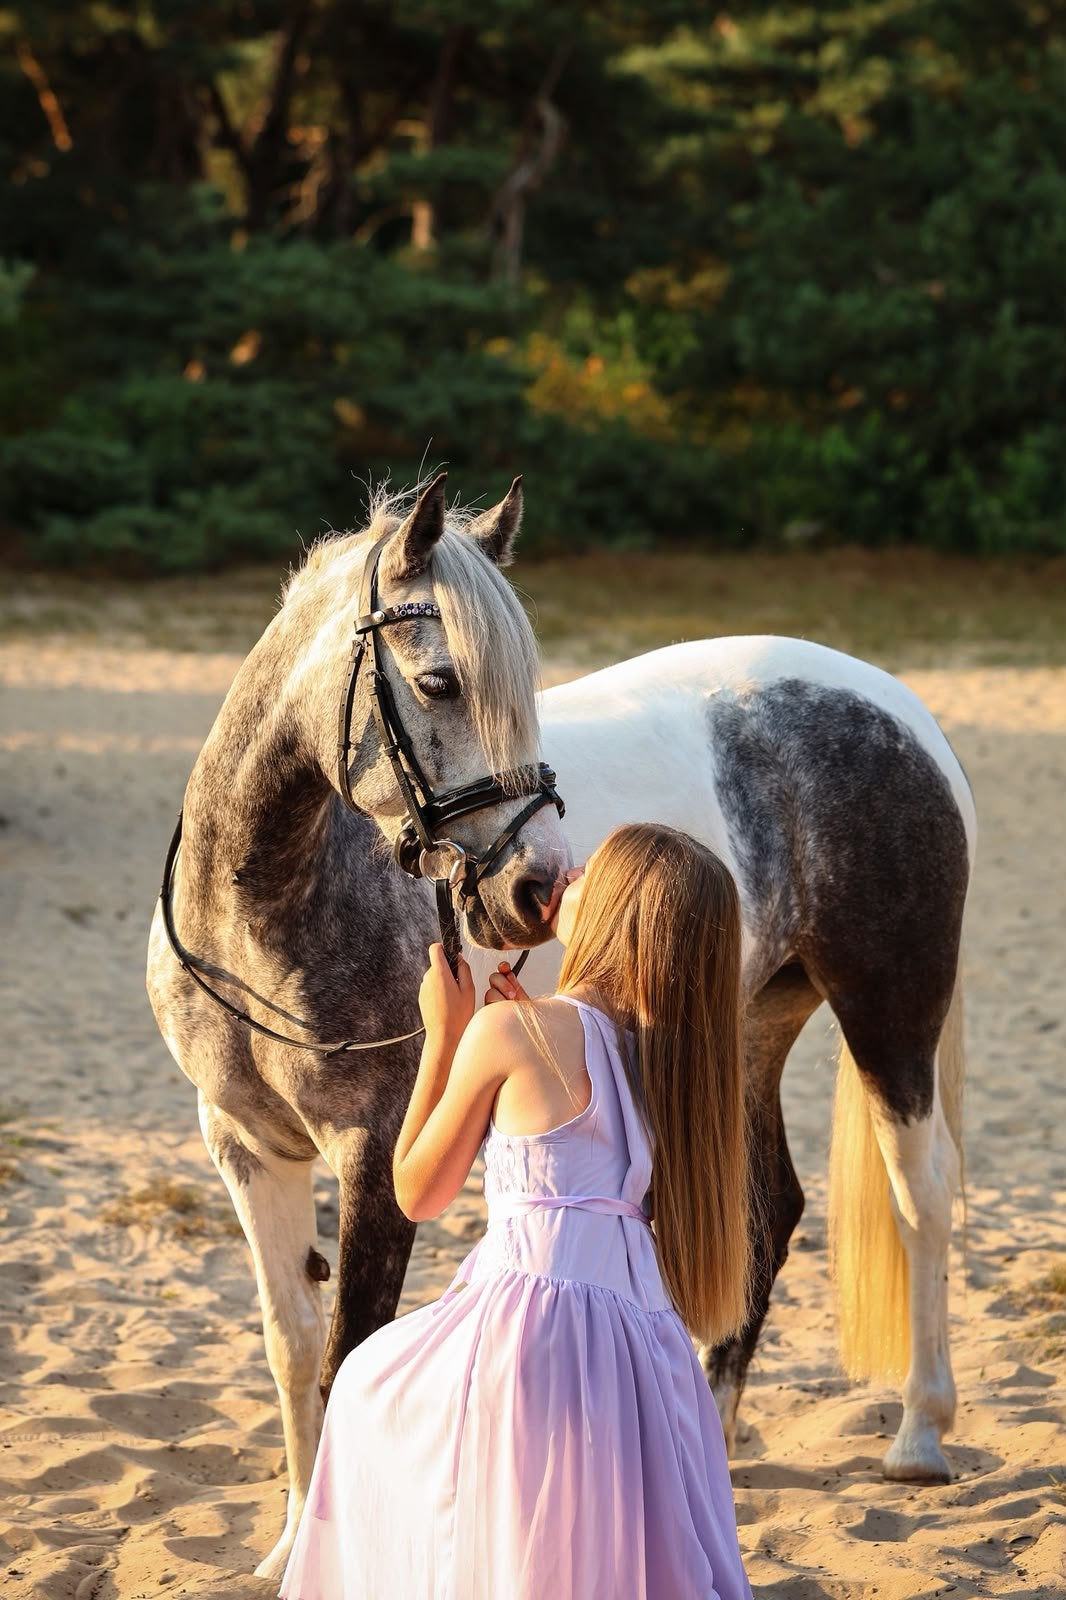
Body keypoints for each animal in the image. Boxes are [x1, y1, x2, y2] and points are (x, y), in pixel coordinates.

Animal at [148, 480, 973, 1578]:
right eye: (439, 680)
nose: (534, 887)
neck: (264, 903)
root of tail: (899, 710)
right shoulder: (243, 1144)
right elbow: (293, 1345)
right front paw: (288, 1547)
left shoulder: (377, 1148)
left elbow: (349, 1344)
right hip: (749, 1020)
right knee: (766, 1209)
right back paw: (709, 1434)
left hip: (889, 1008)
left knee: (921, 1195)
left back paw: (919, 1433)